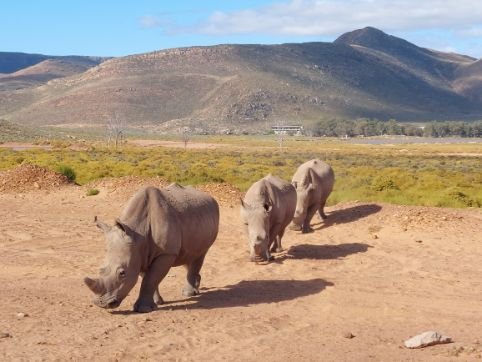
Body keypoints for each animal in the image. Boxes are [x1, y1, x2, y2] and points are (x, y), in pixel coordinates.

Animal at [84, 185, 219, 312]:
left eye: (122, 273)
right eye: (100, 270)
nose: (102, 304)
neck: (138, 232)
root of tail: (210, 197)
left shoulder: (166, 253)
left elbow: (150, 279)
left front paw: (144, 309)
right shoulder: (139, 253)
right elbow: (148, 278)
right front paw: (157, 302)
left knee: (200, 254)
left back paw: (189, 294)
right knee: (188, 256)